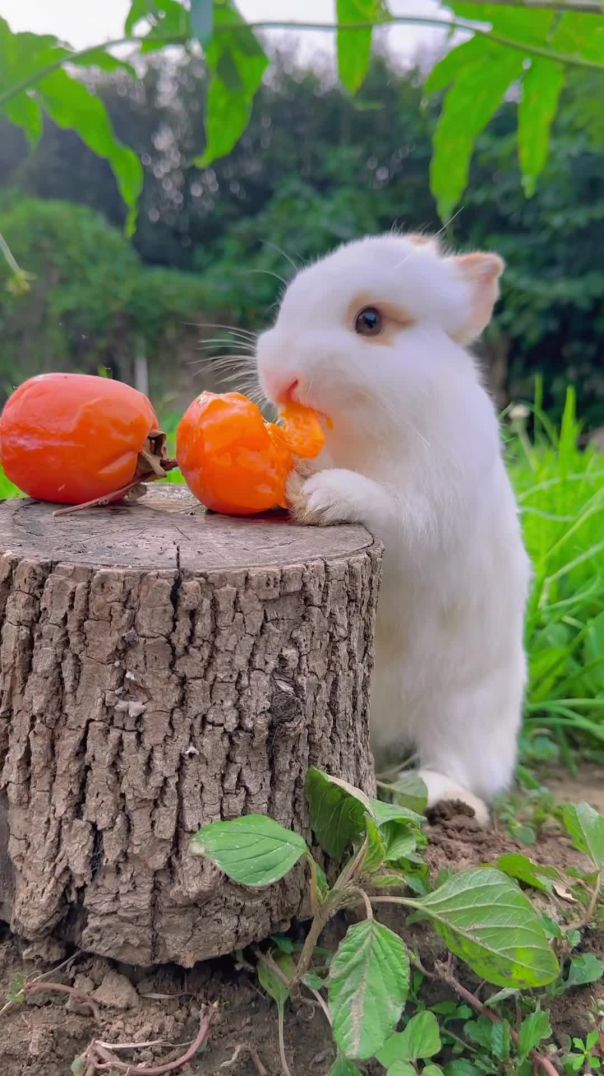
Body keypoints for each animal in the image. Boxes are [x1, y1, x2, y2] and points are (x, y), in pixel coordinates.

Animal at [256, 235, 529, 822]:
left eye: (370, 320)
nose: (280, 377)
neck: (360, 434)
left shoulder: (425, 512)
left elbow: (384, 506)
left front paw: (320, 496)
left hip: (467, 712)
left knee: (459, 768)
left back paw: (446, 798)